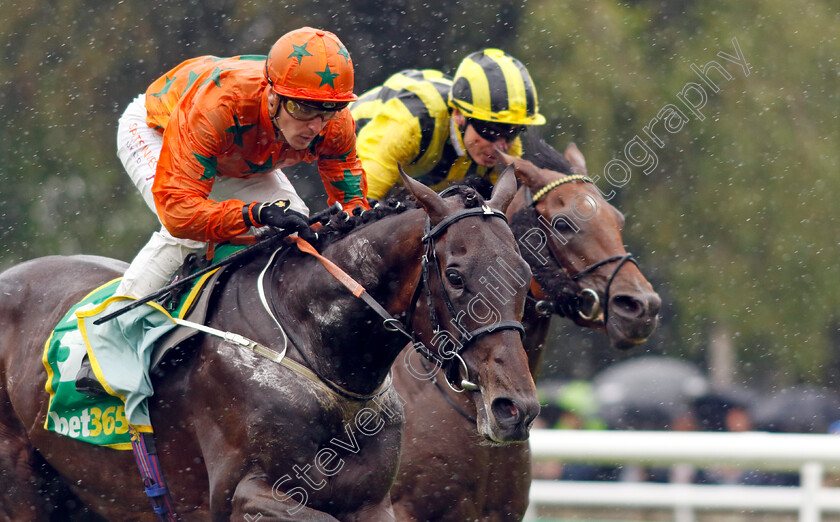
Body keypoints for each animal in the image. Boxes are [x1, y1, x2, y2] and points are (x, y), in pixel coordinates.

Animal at [0, 170, 540, 516]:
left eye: (525, 273)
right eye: (455, 276)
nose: (515, 408)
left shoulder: (371, 502)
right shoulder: (241, 494)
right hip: (22, 488)